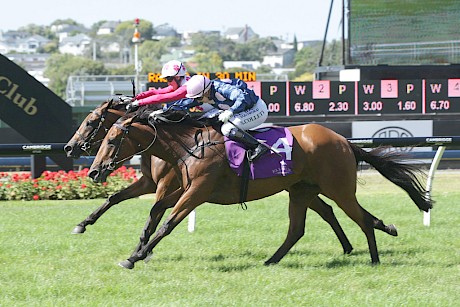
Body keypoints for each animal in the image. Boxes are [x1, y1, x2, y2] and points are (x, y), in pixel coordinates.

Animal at [63, 98, 354, 258]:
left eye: (91, 123)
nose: (69, 147)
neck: (185, 144)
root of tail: (340, 139)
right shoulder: (156, 184)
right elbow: (120, 199)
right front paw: (84, 224)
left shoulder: (178, 187)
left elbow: (160, 216)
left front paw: (143, 252)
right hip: (300, 186)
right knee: (327, 210)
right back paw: (347, 246)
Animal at [89, 111, 432, 270]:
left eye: (111, 139)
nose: (94, 170)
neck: (191, 145)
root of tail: (344, 141)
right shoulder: (184, 189)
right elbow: (154, 214)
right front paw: (137, 251)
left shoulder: (196, 192)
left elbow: (167, 224)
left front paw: (135, 257)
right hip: (301, 190)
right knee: (299, 228)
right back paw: (271, 260)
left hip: (339, 188)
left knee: (360, 218)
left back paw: (374, 257)